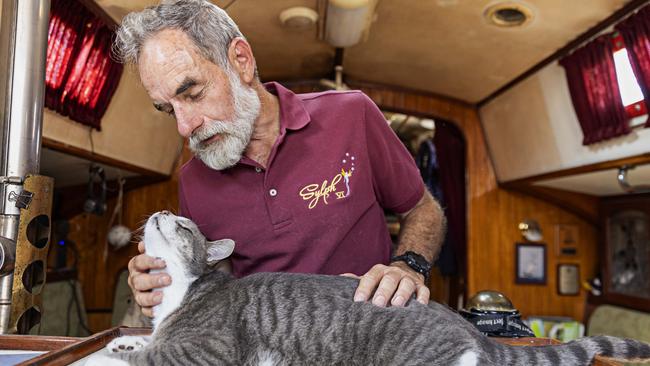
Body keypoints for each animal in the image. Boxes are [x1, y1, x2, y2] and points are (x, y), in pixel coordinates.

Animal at [88, 212, 648, 366]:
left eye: (183, 225)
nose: (161, 212)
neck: (179, 295)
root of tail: (474, 333)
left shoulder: (205, 353)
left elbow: (151, 356)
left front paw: (117, 354)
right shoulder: (166, 332)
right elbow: (145, 340)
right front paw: (123, 339)